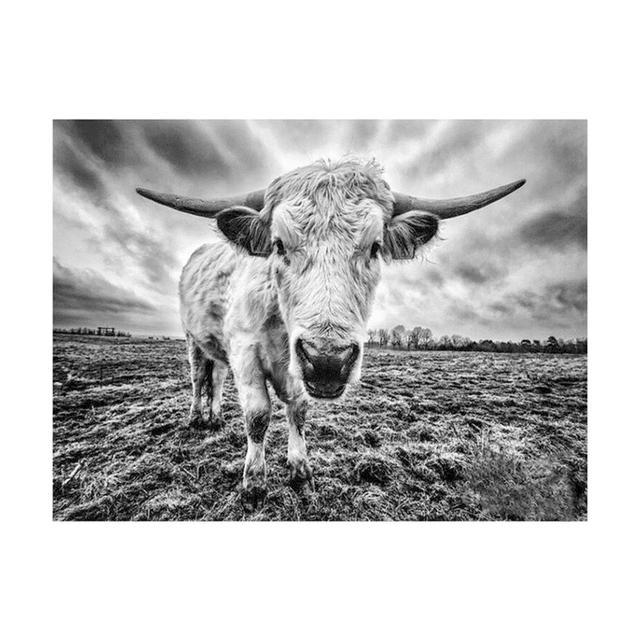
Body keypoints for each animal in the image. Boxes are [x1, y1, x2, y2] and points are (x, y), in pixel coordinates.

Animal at [137, 158, 525, 510]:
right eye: (278, 244)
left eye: (375, 246)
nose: (327, 360)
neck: (280, 326)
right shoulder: (245, 353)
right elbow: (258, 416)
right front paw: (254, 484)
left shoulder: (293, 370)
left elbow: (298, 410)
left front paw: (300, 472)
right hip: (193, 340)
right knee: (198, 379)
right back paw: (195, 417)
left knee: (215, 379)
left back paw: (215, 416)